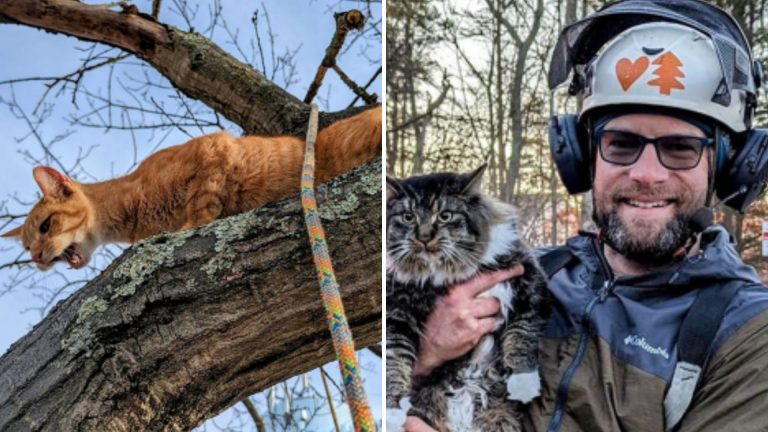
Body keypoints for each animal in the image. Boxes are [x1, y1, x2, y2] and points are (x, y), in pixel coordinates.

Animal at [3, 105, 380, 270]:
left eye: (45, 226)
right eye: (27, 247)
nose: (36, 258)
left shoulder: (213, 149)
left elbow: (203, 202)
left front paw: (189, 224)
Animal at [388, 164, 548, 430]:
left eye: (445, 215)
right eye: (408, 217)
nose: (424, 237)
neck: (449, 273)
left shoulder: (528, 280)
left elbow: (522, 331)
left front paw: (523, 381)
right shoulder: (397, 310)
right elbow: (395, 358)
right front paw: (392, 409)